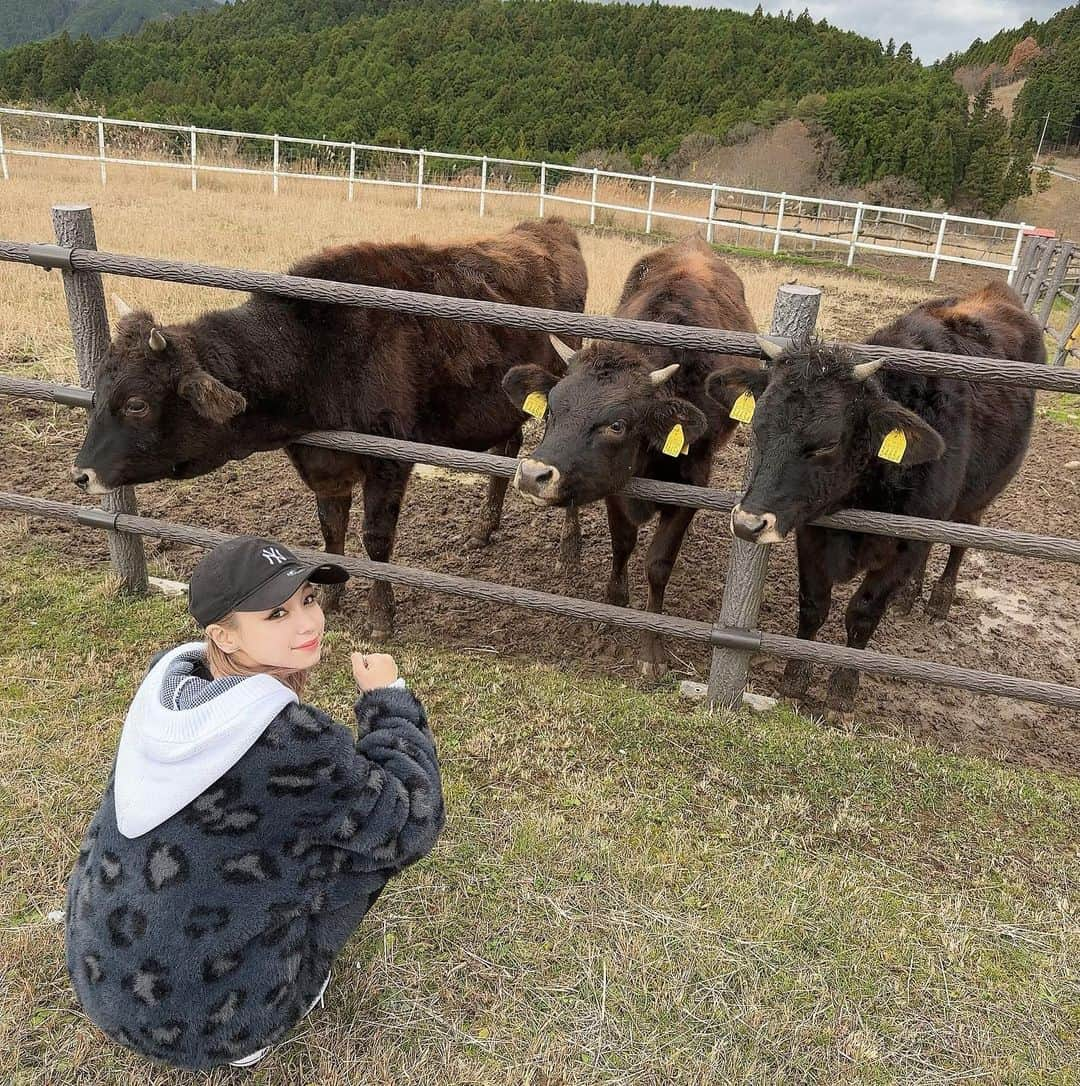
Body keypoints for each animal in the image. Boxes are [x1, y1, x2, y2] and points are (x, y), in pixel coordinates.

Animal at [501, 235, 751, 677]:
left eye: (616, 425)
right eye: (551, 408)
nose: (532, 474)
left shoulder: (693, 484)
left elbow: (658, 563)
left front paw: (651, 646)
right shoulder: (615, 484)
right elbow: (623, 543)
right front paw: (613, 606)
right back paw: (569, 549)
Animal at [708, 278, 1043, 712]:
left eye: (827, 443)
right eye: (758, 425)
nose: (749, 523)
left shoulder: (902, 546)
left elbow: (863, 613)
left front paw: (842, 689)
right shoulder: (811, 532)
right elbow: (813, 606)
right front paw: (795, 678)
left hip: (978, 499)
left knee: (960, 541)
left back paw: (938, 600)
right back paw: (910, 595)